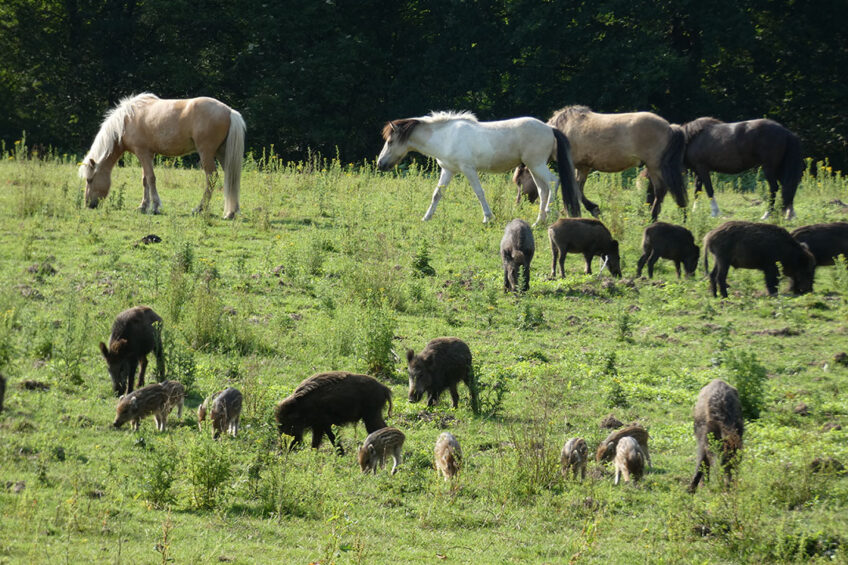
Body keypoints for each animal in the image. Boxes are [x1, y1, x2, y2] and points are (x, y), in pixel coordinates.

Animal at [77, 93, 245, 217]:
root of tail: (229, 111)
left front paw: (155, 207)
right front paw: (143, 206)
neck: (126, 120)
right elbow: (144, 180)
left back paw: (200, 208)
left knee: (211, 177)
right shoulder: (147, 155)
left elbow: (151, 178)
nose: (88, 205)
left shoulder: (143, 153)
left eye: (90, 179)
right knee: (232, 177)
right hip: (222, 153)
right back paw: (232, 212)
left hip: (207, 153)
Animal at [378, 110, 584, 225]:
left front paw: (487, 217)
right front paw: (426, 218)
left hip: (537, 164)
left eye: (390, 141)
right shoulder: (448, 170)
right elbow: (437, 194)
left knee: (553, 182)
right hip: (534, 167)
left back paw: (550, 213)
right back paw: (538, 222)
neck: (445, 136)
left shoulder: (468, 169)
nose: (380, 164)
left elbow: (479, 192)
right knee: (543, 190)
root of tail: (549, 128)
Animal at [510, 104, 688, 221]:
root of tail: (669, 127)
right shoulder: (582, 167)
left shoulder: (577, 166)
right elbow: (578, 189)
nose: (518, 204)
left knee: (660, 191)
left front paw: (584, 210)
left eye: (520, 181)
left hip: (655, 165)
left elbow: (575, 190)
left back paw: (652, 218)